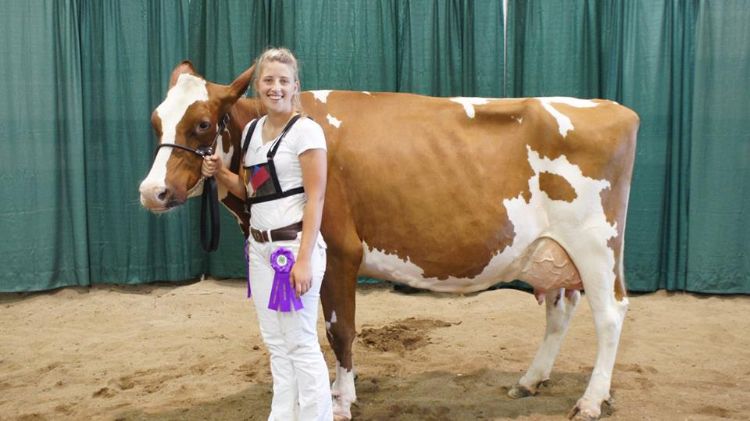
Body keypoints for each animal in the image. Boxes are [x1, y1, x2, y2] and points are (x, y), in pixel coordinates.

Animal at [141, 60, 640, 418]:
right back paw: (530, 381)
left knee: (610, 314)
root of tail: (615, 108)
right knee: (561, 310)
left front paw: (340, 400)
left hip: (596, 245)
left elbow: (339, 330)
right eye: (155, 122)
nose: (152, 191)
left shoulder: (339, 252)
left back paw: (591, 401)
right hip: (554, 252)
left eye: (203, 123)